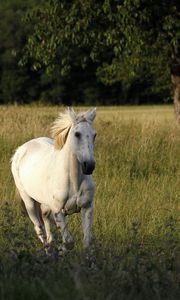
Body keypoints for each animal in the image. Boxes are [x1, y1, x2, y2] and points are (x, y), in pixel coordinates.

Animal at [10, 108, 96, 253]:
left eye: (94, 135)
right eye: (77, 134)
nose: (89, 166)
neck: (73, 181)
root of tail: (19, 150)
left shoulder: (87, 207)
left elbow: (87, 242)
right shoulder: (58, 211)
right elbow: (69, 242)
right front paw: (61, 251)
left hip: (45, 205)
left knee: (46, 224)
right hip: (29, 202)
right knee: (40, 230)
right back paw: (49, 252)